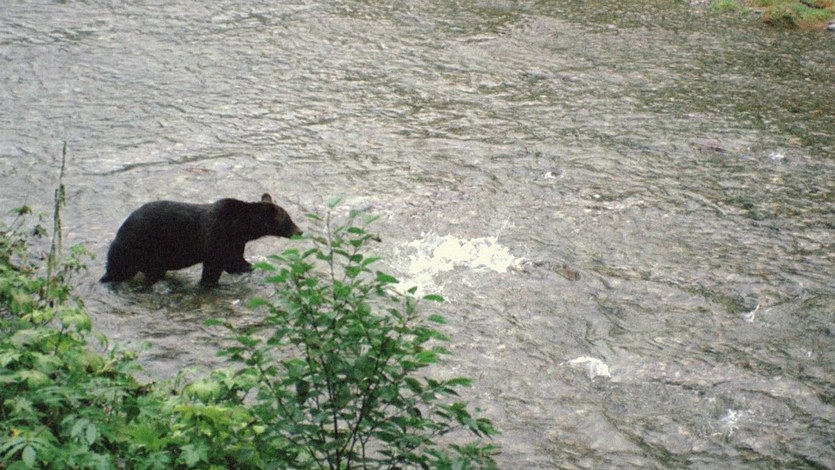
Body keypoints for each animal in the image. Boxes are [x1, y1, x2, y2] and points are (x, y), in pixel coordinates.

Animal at [100, 193, 302, 288]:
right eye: (288, 220)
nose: (300, 231)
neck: (240, 227)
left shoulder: (235, 242)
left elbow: (235, 260)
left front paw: (247, 267)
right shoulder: (217, 238)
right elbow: (214, 267)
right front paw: (209, 283)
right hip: (135, 248)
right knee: (119, 270)